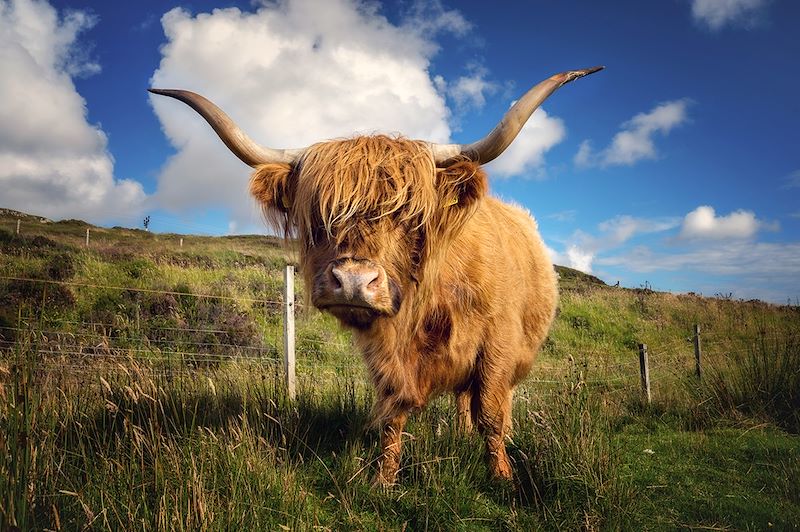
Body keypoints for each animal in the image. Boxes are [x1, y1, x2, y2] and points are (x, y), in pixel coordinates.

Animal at [150, 65, 600, 482]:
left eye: (410, 216)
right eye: (319, 217)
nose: (352, 282)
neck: (426, 306)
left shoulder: (497, 346)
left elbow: (490, 412)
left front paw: (501, 476)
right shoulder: (384, 358)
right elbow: (392, 416)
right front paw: (384, 479)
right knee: (462, 403)